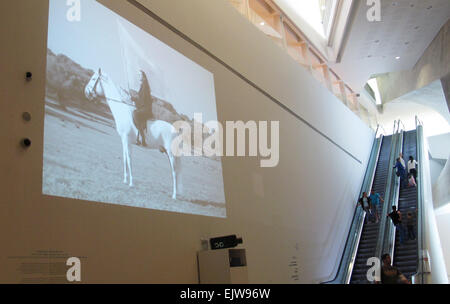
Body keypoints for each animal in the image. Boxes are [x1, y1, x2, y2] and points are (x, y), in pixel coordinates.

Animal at [85, 67, 180, 198]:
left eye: (94, 79)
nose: (86, 92)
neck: (123, 111)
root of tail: (175, 130)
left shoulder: (126, 139)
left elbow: (129, 159)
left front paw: (131, 183)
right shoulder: (124, 141)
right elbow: (125, 157)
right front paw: (125, 180)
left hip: (171, 154)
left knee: (175, 172)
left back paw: (174, 195)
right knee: (175, 172)